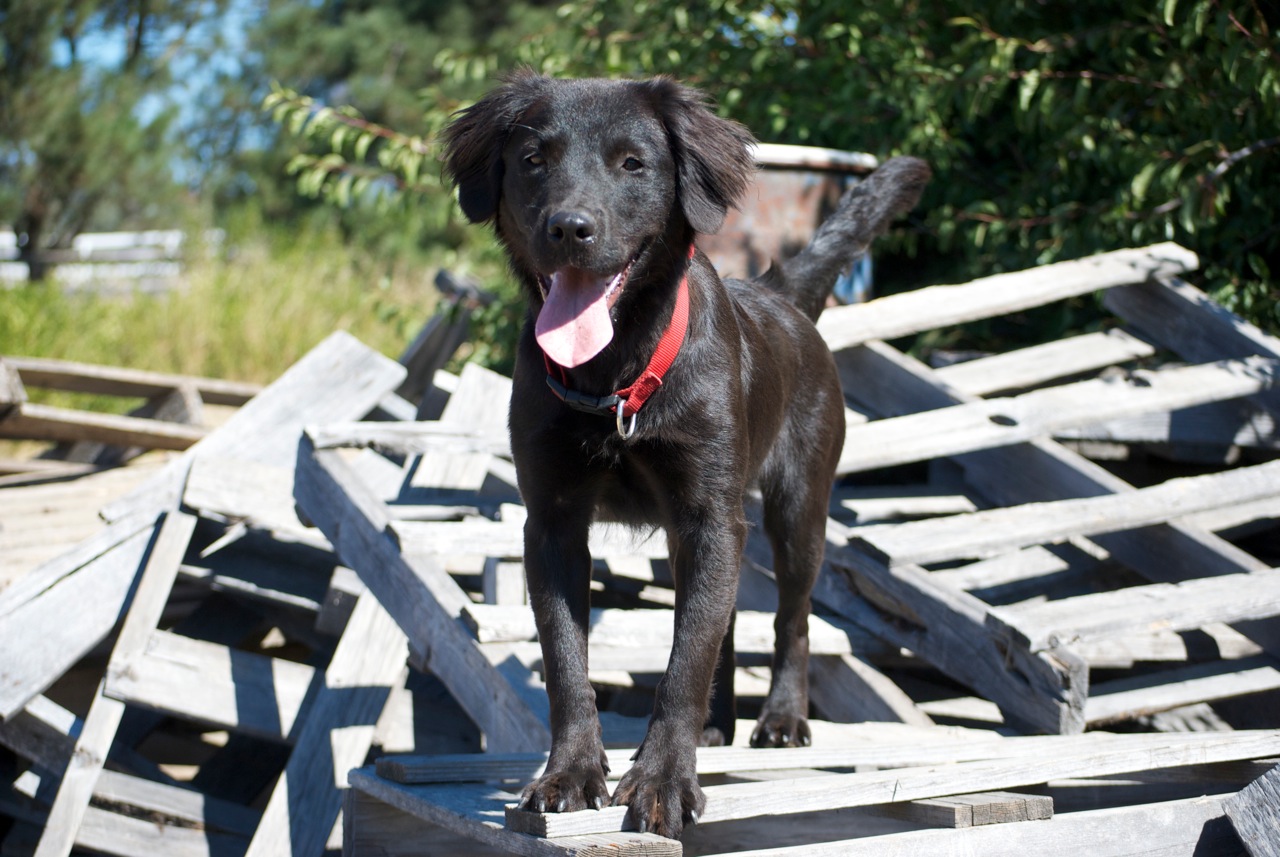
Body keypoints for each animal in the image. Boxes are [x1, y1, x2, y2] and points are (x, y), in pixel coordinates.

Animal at [445, 73, 926, 839]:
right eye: (532, 160)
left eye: (632, 164)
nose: (570, 228)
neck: (612, 374)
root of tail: (780, 297)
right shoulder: (553, 523)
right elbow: (569, 660)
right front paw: (569, 773)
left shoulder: (709, 514)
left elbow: (686, 658)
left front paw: (663, 779)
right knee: (720, 622)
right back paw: (714, 725)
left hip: (797, 511)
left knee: (790, 619)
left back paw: (780, 718)